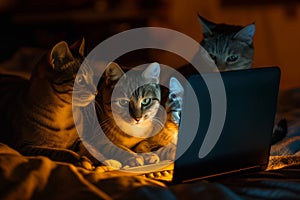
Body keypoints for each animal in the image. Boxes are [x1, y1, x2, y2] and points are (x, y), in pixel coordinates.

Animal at [0, 38, 98, 167]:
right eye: (80, 79)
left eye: (92, 77)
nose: (96, 92)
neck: (63, 113)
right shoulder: (24, 146)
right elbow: (58, 152)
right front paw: (78, 158)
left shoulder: (78, 140)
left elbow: (90, 149)